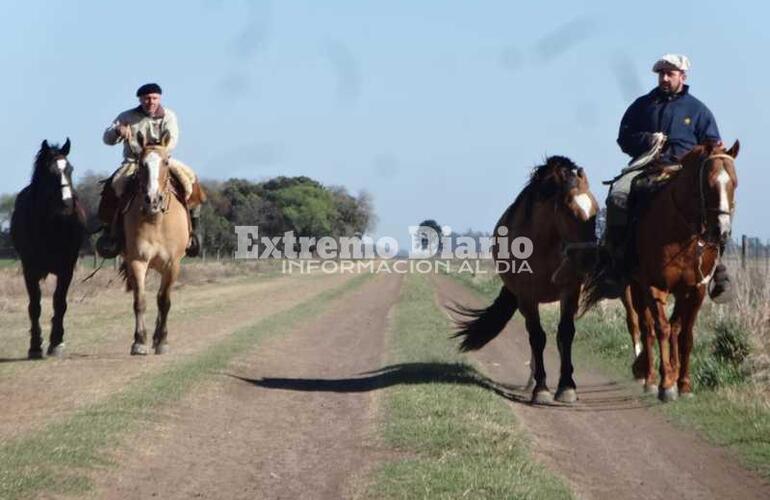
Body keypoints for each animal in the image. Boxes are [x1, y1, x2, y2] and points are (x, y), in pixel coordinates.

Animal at [10, 140, 87, 360]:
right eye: (50, 172)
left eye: (70, 169)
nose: (68, 203)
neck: (49, 225)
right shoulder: (29, 270)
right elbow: (34, 306)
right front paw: (35, 346)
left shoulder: (66, 269)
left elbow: (59, 302)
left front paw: (56, 342)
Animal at [118, 130, 195, 356]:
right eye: (141, 163)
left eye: (166, 162)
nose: (153, 199)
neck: (156, 221)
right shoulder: (137, 262)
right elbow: (140, 302)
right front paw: (139, 342)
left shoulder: (172, 264)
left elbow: (164, 301)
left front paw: (162, 341)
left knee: (162, 298)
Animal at [452, 156, 596, 402]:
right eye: (569, 211)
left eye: (596, 209)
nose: (589, 259)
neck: (545, 244)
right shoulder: (528, 297)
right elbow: (537, 337)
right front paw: (542, 389)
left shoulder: (570, 291)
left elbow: (565, 333)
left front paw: (566, 386)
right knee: (533, 337)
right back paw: (532, 381)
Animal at [584, 141, 736, 402]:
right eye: (709, 182)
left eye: (734, 183)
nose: (722, 231)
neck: (682, 233)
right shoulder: (655, 286)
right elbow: (661, 329)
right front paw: (666, 385)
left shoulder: (695, 290)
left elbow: (685, 334)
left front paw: (684, 384)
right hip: (634, 286)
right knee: (644, 326)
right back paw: (648, 375)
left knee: (667, 327)